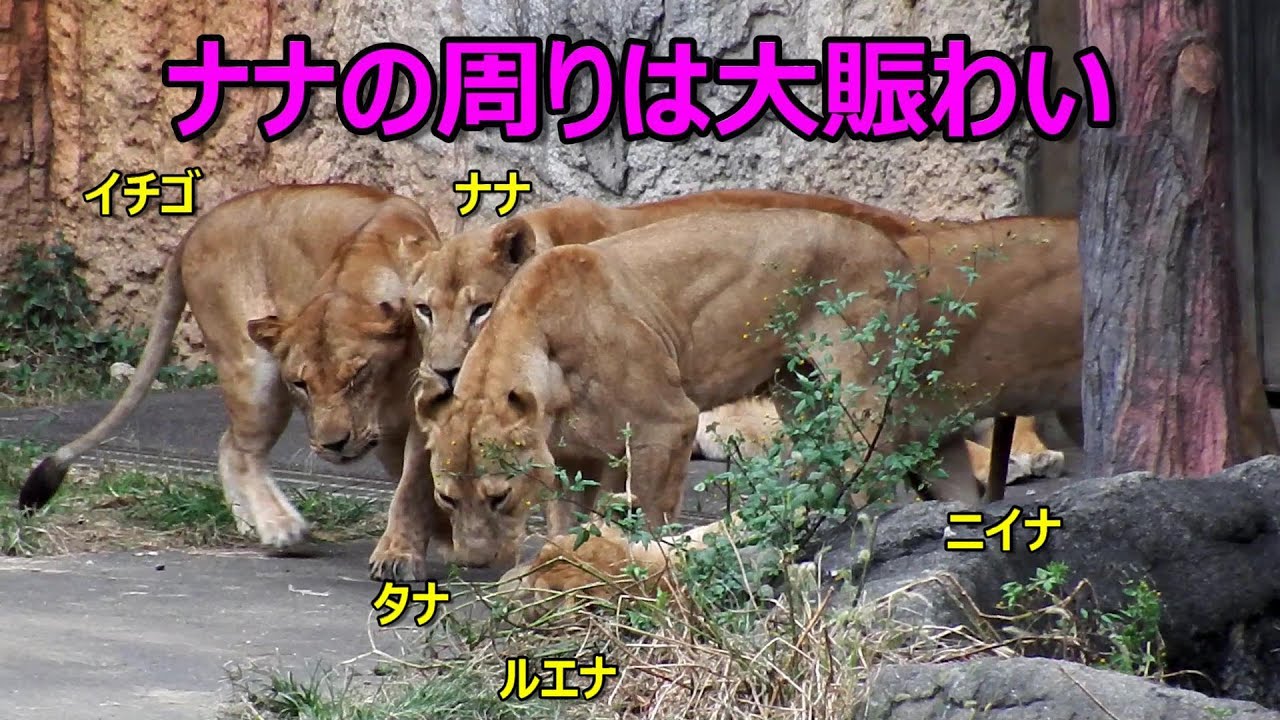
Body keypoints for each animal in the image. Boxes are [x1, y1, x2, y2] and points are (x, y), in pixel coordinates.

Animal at [17, 183, 442, 550]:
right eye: (301, 385)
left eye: (357, 374)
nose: (332, 445)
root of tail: (195, 228)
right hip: (253, 369)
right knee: (241, 450)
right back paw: (278, 526)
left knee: (228, 443)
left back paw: (250, 523)